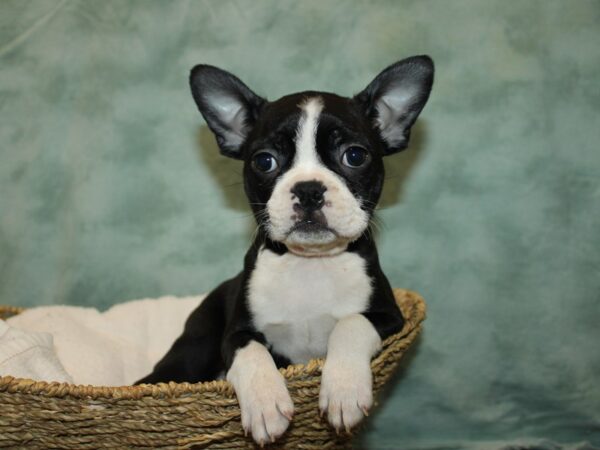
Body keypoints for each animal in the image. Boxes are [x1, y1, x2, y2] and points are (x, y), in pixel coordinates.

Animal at [138, 55, 434, 442]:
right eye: (265, 161)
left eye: (355, 155)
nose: (308, 189)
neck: (309, 263)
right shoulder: (235, 334)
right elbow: (251, 353)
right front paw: (266, 404)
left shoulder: (390, 318)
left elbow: (351, 322)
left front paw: (343, 390)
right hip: (195, 346)